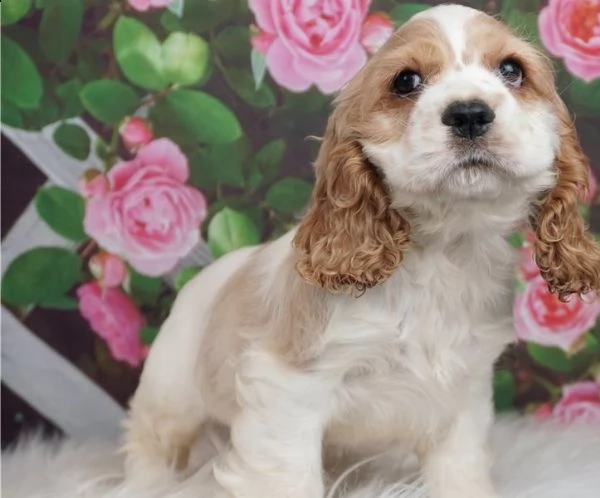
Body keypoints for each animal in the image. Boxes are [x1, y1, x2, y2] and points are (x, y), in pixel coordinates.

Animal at [122, 3, 600, 498]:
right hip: (172, 394)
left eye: (511, 70)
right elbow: (290, 479)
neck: (441, 250)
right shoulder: (287, 393)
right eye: (406, 81)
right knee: (151, 445)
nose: (469, 113)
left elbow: (461, 472)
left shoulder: (462, 400)